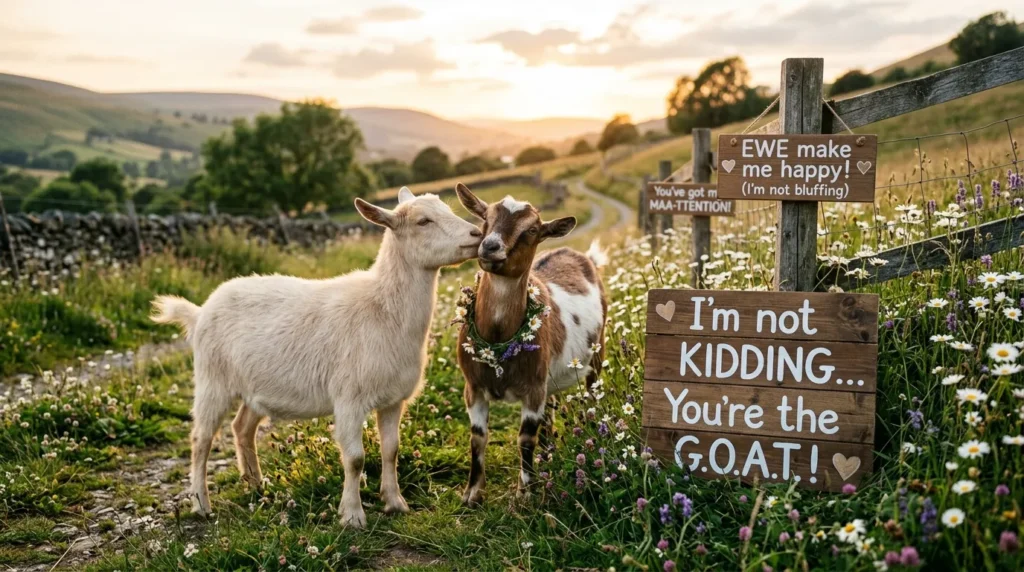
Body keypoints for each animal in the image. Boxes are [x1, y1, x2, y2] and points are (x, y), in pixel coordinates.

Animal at [150, 187, 482, 527]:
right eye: (423, 221)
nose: (477, 234)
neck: (381, 308)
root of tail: (199, 312)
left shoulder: (393, 399)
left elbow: (391, 450)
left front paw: (395, 503)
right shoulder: (348, 398)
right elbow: (355, 458)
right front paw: (352, 515)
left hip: (254, 388)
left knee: (242, 428)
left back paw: (256, 485)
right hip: (211, 380)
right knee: (201, 439)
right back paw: (201, 503)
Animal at [454, 183, 608, 505]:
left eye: (532, 230)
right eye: (485, 217)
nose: (490, 247)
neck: (498, 338)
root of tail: (583, 256)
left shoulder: (533, 387)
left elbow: (525, 438)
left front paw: (525, 493)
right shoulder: (473, 387)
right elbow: (478, 437)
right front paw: (472, 493)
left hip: (595, 357)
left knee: (591, 399)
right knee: (550, 415)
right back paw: (548, 457)